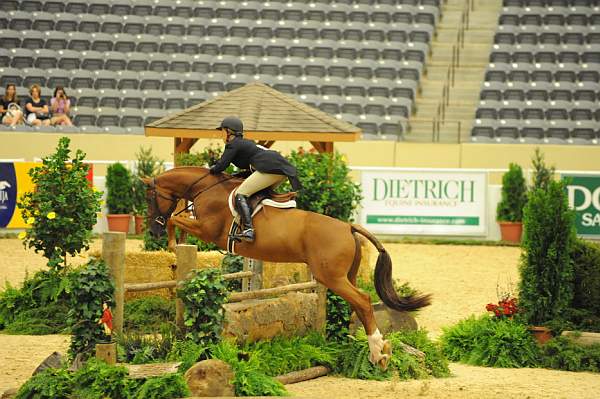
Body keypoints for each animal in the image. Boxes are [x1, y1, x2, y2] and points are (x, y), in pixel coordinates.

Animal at [142, 166, 428, 368]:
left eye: (150, 198)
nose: (153, 230)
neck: (206, 188)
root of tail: (349, 226)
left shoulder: (208, 230)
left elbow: (175, 219)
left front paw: (171, 244)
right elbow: (177, 220)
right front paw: (175, 243)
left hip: (332, 276)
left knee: (364, 300)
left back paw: (379, 352)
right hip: (346, 275)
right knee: (358, 304)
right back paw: (374, 349)